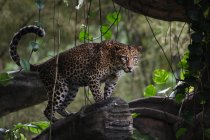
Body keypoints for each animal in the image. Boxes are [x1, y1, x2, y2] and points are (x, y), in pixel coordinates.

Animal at [9, 25, 141, 122]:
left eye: (134, 58)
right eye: (124, 58)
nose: (130, 68)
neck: (115, 64)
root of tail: (44, 64)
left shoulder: (112, 81)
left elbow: (108, 92)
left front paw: (108, 101)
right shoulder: (93, 77)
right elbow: (98, 94)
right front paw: (100, 103)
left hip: (72, 88)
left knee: (60, 107)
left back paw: (69, 115)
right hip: (59, 86)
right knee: (48, 109)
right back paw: (55, 121)